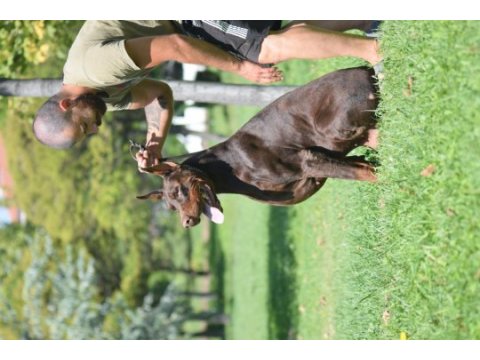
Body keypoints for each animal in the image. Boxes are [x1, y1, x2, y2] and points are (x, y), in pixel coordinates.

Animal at [136, 66, 378, 226]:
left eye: (178, 191)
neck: (228, 167)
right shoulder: (337, 159)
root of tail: (367, 71)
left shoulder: (308, 160)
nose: (186, 222)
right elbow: (366, 167)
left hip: (332, 129)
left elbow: (368, 174)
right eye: (170, 207)